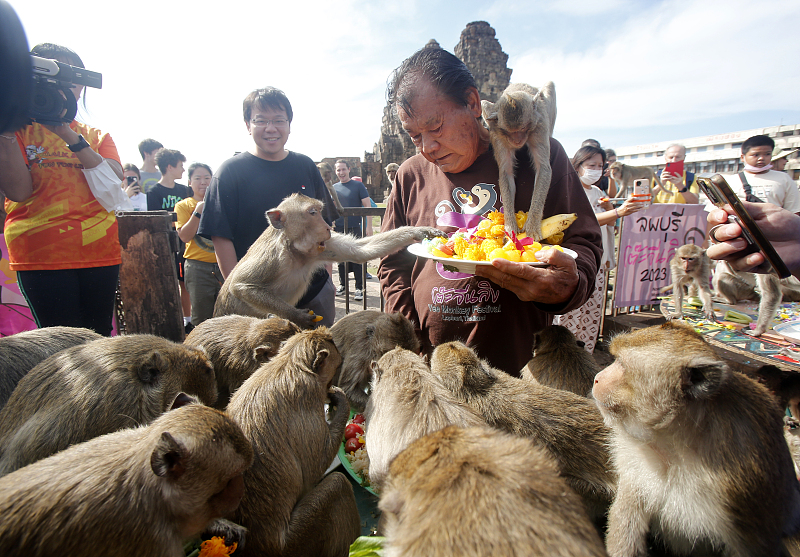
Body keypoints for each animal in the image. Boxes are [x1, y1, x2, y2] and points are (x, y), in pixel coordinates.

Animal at [212, 193, 444, 328]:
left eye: (320, 211)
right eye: (313, 212)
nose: (326, 227)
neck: (294, 250)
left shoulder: (319, 248)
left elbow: (359, 251)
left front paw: (418, 231)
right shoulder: (272, 256)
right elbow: (241, 285)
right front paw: (297, 316)